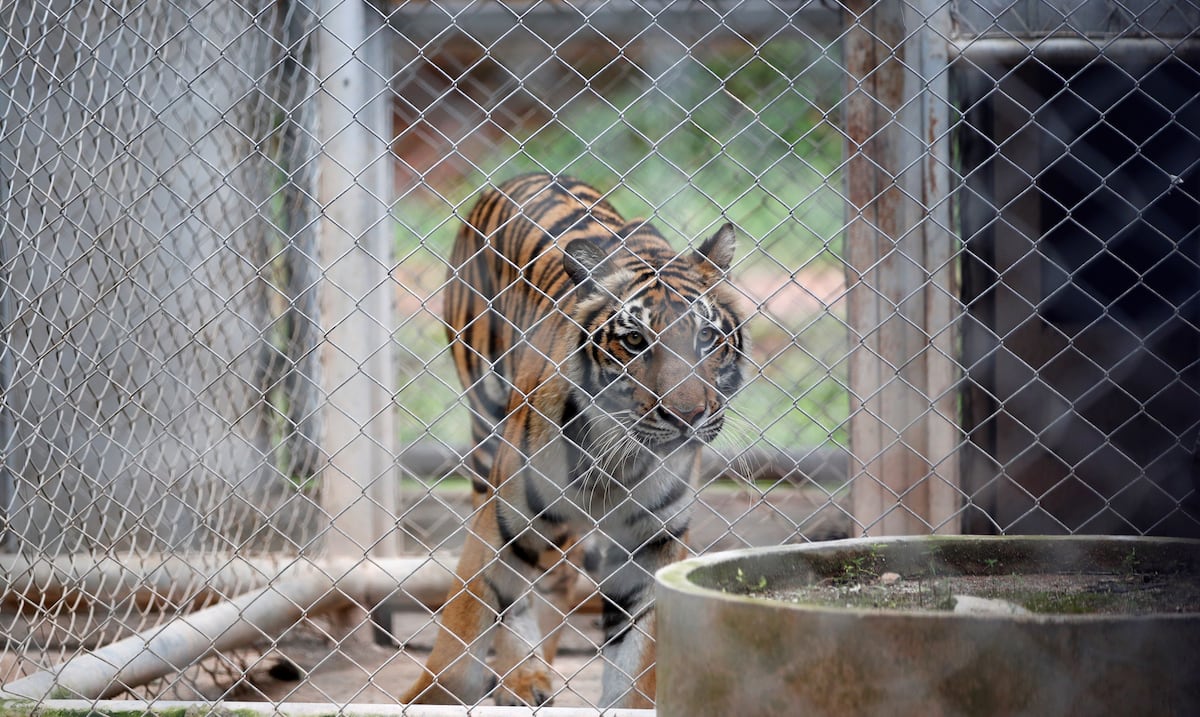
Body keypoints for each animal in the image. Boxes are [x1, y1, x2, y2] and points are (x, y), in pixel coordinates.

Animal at [401, 173, 748, 708]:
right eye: (634, 341)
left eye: (706, 338)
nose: (687, 417)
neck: (617, 460)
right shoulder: (505, 518)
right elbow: (473, 617)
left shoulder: (652, 543)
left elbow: (637, 662)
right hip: (486, 434)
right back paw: (521, 678)